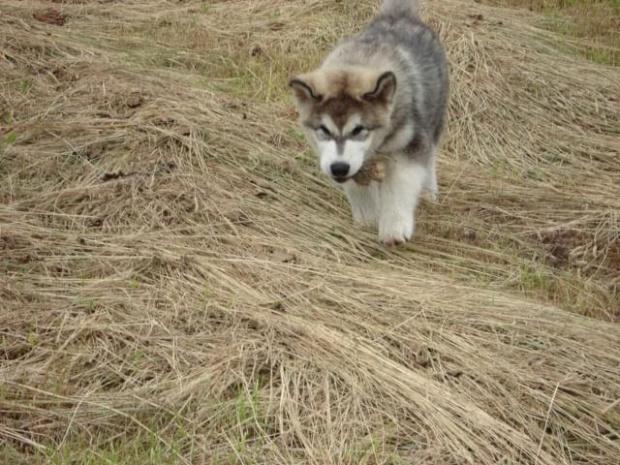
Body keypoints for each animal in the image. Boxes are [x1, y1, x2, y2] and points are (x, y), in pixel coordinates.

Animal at [288, 0, 448, 246]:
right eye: (323, 129)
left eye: (358, 130)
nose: (338, 168)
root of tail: (398, 15)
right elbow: (359, 187)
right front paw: (368, 220)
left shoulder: (410, 145)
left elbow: (399, 185)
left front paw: (393, 227)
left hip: (434, 118)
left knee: (430, 157)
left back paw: (429, 192)